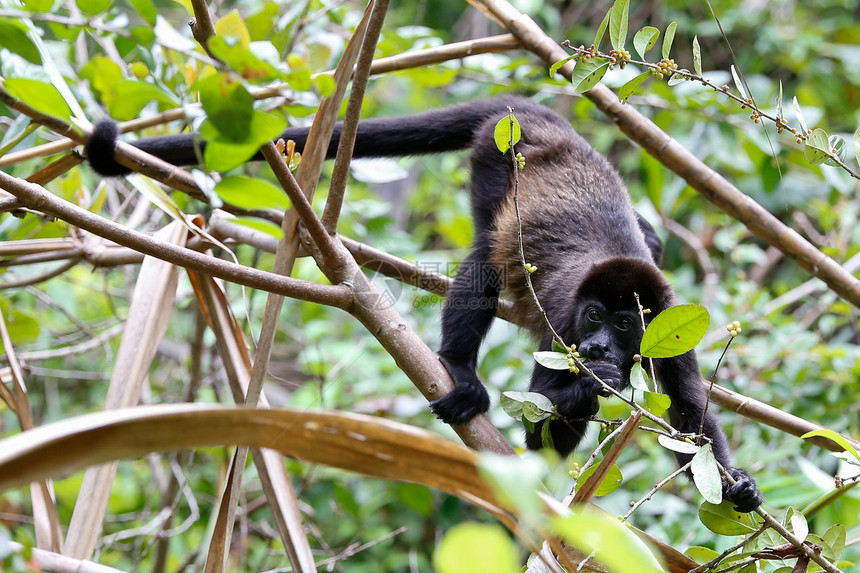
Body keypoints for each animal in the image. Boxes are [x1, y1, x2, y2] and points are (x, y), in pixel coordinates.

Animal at [85, 97, 760, 510]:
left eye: (625, 323)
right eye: (595, 318)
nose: (597, 345)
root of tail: (540, 119)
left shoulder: (675, 328)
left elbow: (690, 411)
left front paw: (736, 487)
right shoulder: (562, 319)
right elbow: (542, 421)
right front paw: (597, 381)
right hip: (494, 157)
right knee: (486, 257)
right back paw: (459, 370)